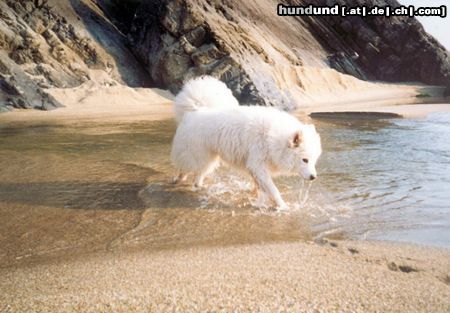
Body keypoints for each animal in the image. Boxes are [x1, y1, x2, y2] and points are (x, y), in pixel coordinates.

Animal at [169, 75, 320, 210]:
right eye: (305, 160)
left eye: (313, 161)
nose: (314, 177)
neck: (274, 139)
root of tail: (196, 110)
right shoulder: (258, 164)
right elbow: (273, 189)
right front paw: (283, 206)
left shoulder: (255, 166)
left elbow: (260, 186)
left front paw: (258, 196)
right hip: (199, 155)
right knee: (186, 168)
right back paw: (179, 180)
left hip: (209, 158)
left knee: (198, 175)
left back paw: (197, 186)